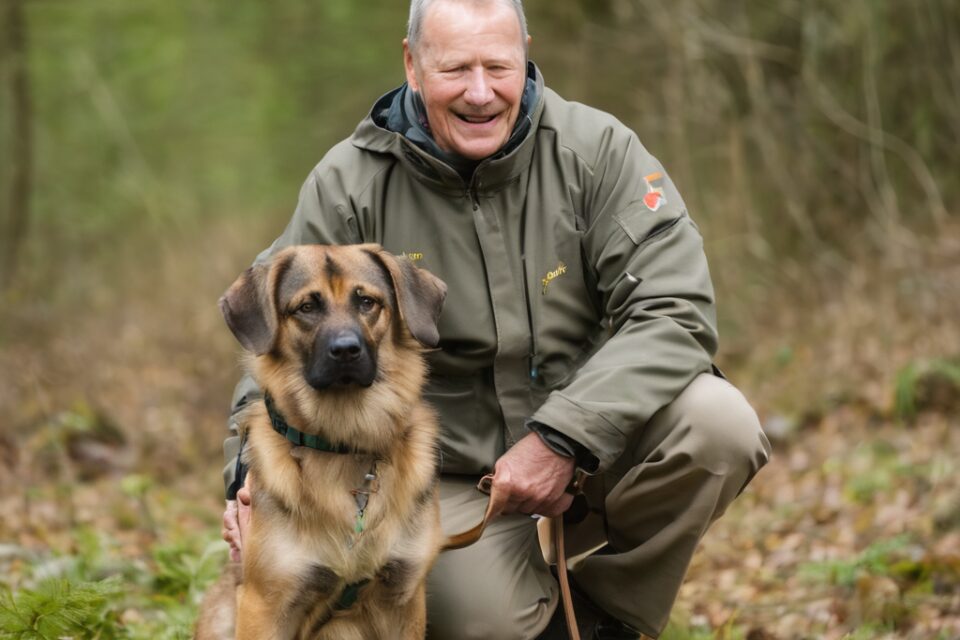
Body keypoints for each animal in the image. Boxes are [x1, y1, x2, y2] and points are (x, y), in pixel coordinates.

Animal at [198, 244, 450, 640]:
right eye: (306, 307)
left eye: (366, 302)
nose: (346, 350)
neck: (345, 440)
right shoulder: (265, 605)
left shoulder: (403, 598)